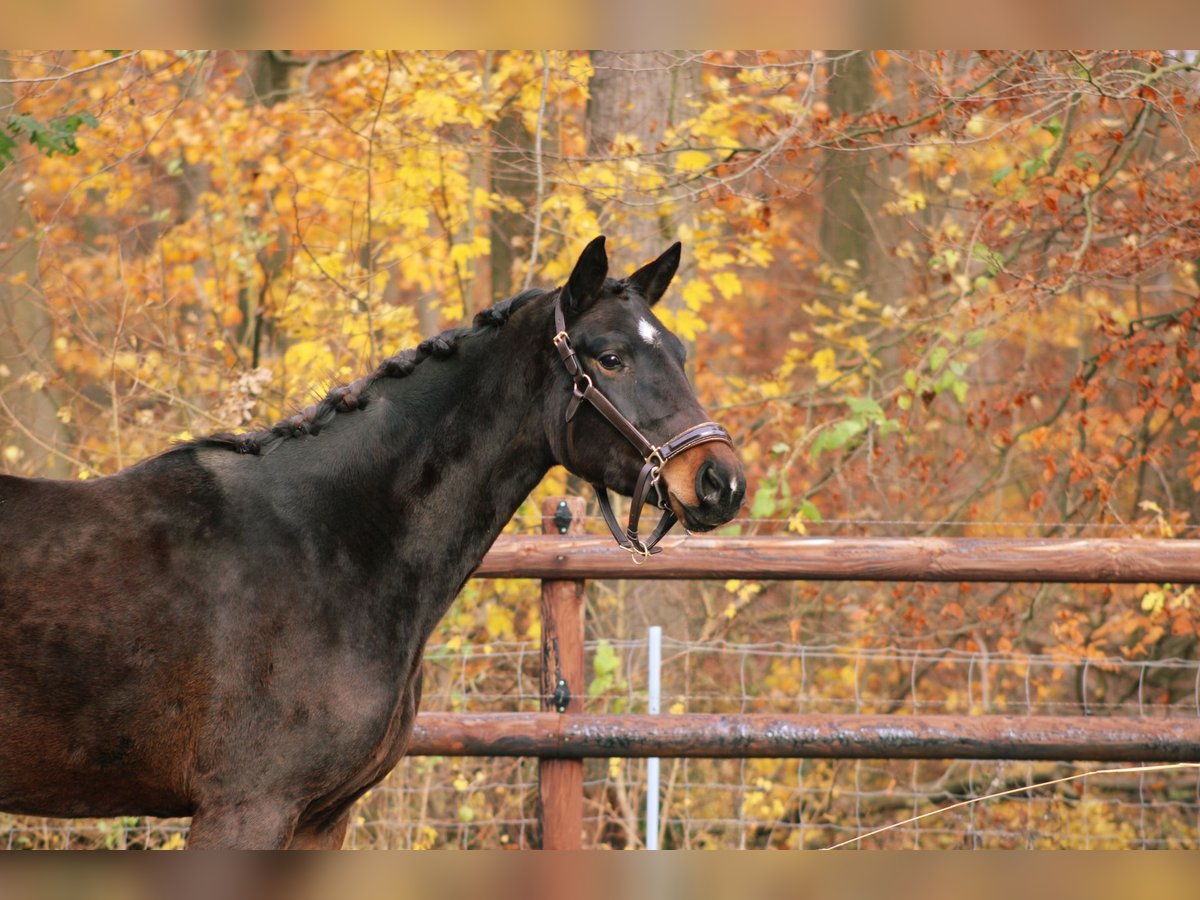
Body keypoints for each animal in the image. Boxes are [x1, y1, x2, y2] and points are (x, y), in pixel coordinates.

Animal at [0, 236, 744, 849]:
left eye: (679, 354)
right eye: (611, 359)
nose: (721, 481)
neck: (324, 543)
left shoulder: (321, 818)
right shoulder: (246, 808)